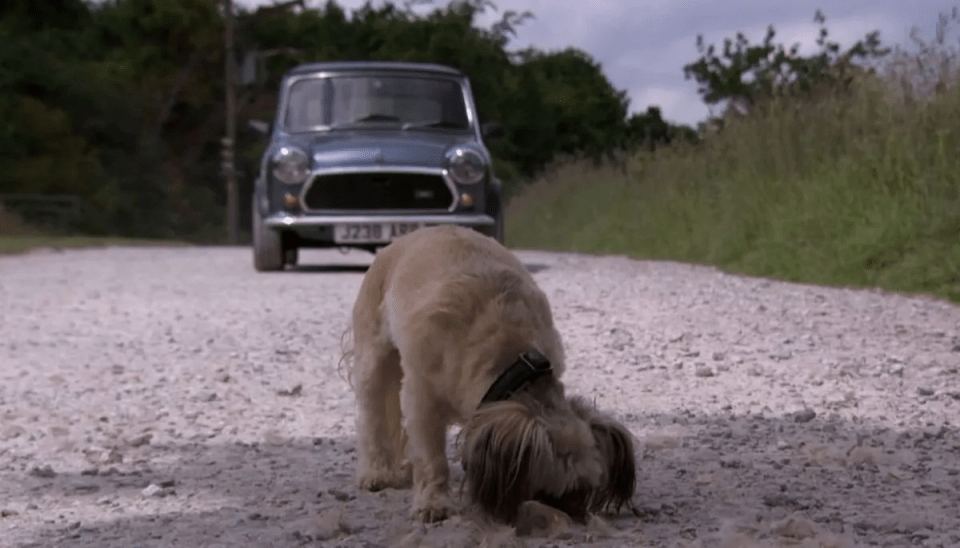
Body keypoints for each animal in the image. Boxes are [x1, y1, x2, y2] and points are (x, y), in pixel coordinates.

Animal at [342, 226, 632, 524]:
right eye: (554, 493)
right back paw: (376, 472)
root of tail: (408, 237)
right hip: (373, 360)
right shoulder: (421, 399)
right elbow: (432, 458)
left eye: (586, 490)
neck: (511, 357)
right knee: (372, 418)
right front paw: (433, 502)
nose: (577, 520)